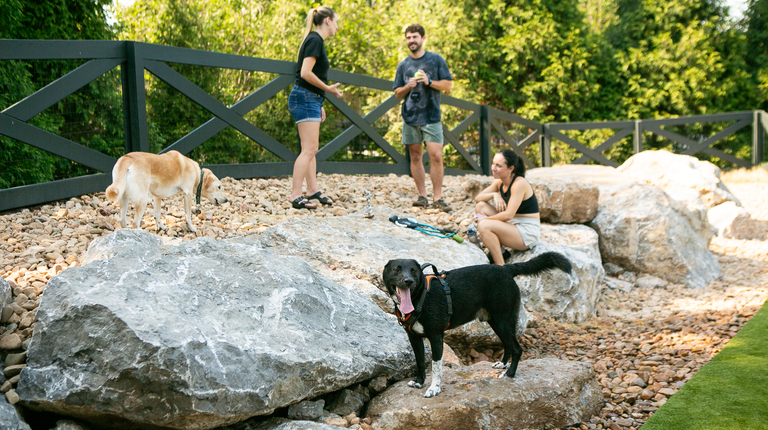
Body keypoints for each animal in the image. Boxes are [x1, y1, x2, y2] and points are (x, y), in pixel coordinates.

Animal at [384, 252, 568, 396]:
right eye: (396, 269)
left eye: (414, 271)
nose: (408, 281)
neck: (421, 297)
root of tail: (506, 269)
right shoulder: (414, 338)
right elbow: (420, 361)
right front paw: (419, 382)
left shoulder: (436, 337)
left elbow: (436, 367)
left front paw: (434, 389)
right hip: (496, 322)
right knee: (507, 344)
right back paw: (503, 364)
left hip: (503, 320)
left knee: (517, 348)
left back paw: (510, 373)